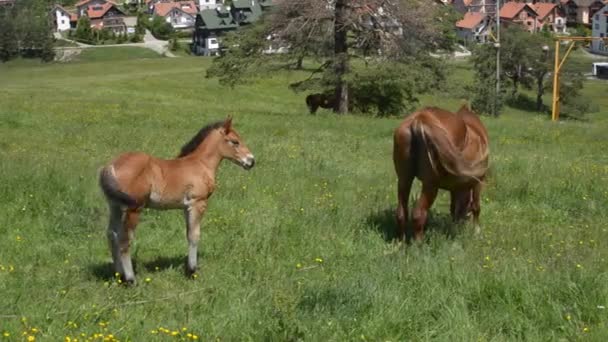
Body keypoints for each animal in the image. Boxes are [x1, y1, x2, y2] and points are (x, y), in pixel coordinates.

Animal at [98, 117, 255, 284]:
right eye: (235, 141)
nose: (251, 161)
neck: (200, 164)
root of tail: (109, 166)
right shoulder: (198, 203)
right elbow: (195, 236)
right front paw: (192, 271)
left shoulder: (186, 207)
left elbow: (188, 234)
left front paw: (188, 269)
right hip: (134, 208)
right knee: (124, 240)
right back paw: (130, 280)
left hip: (115, 206)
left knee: (112, 234)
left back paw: (119, 276)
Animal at [392, 105, 492, 242]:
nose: (463, 222)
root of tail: (420, 119)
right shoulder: (478, 181)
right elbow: (476, 206)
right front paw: (476, 231)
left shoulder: (455, 187)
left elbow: (453, 208)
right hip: (430, 185)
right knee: (419, 214)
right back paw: (418, 245)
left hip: (404, 180)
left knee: (401, 213)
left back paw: (400, 242)